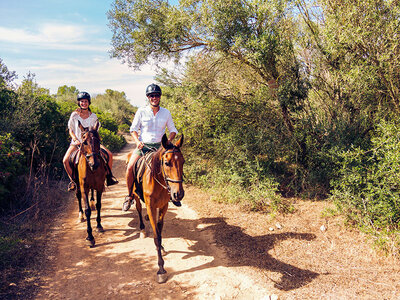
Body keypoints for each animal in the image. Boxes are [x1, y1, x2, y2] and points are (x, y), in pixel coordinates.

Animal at [133, 134, 186, 284]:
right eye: (167, 163)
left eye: (183, 162)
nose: (178, 194)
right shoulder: (151, 207)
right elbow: (156, 236)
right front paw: (161, 269)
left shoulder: (164, 206)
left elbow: (160, 230)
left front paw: (162, 248)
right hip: (135, 196)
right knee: (138, 209)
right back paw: (142, 229)